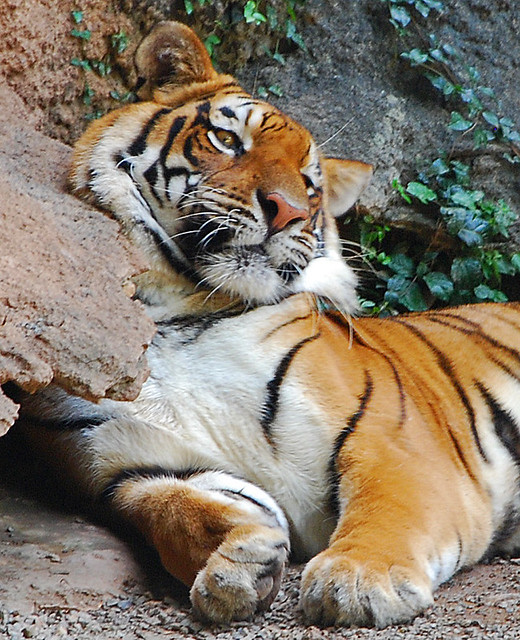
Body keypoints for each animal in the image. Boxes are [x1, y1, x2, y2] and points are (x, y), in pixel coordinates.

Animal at [17, 21, 520, 628]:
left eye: (310, 184)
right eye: (228, 139)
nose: (289, 210)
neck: (180, 307)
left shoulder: (392, 440)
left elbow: (387, 508)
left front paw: (357, 578)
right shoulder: (130, 467)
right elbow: (177, 510)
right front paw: (238, 562)